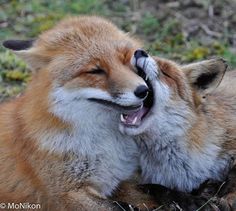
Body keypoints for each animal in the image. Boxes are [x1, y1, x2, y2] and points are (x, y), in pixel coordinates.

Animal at [0, 15, 155, 210]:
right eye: (95, 70)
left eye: (128, 59)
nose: (143, 90)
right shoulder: (66, 193)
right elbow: (116, 206)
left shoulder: (121, 180)